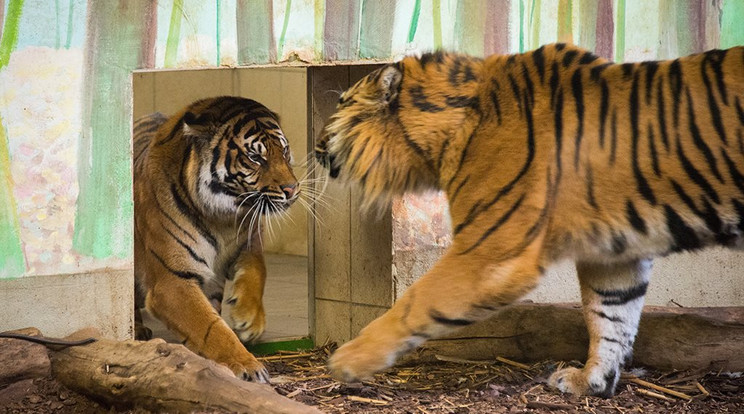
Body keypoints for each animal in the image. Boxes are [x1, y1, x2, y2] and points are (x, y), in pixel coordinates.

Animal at [134, 96, 300, 382]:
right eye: (255, 157)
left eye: (285, 151)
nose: (292, 190)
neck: (223, 218)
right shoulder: (172, 280)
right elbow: (209, 326)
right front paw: (249, 366)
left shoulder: (247, 242)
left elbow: (258, 269)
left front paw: (249, 320)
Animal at [314, 42, 744, 398]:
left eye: (341, 103)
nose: (315, 146)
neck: (444, 138)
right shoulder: (614, 253)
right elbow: (610, 318)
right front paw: (591, 382)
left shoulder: (490, 251)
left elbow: (415, 301)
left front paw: (347, 360)